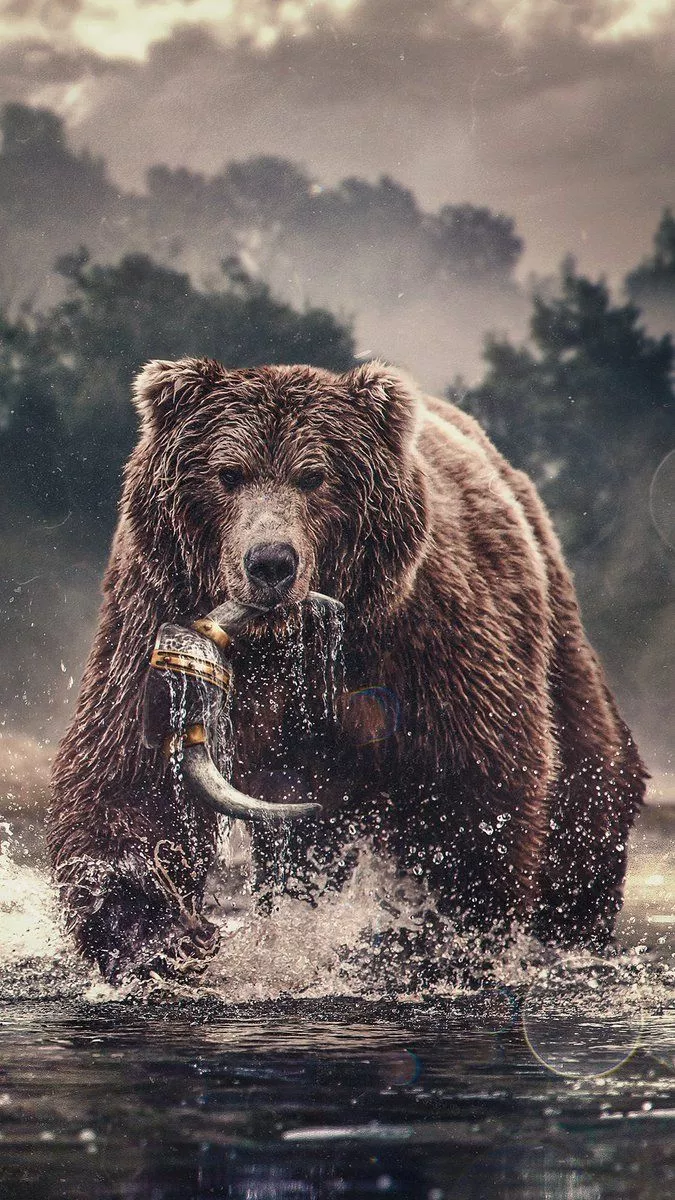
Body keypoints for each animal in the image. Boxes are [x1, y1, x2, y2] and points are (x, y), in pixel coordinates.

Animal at [47, 359, 647, 983]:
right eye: (228, 473)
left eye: (314, 476)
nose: (270, 563)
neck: (285, 644)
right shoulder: (149, 611)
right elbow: (128, 778)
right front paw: (161, 938)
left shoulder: (424, 643)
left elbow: (474, 787)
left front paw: (422, 940)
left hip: (553, 625)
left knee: (587, 777)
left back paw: (574, 921)